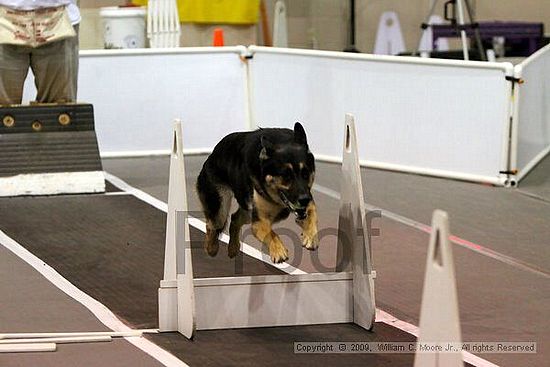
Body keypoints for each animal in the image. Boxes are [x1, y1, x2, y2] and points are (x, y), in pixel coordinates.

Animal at [197, 123, 320, 264]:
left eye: (305, 173)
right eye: (286, 176)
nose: (304, 199)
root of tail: (211, 155)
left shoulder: (307, 199)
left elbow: (312, 212)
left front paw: (310, 235)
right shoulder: (259, 221)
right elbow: (270, 233)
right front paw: (278, 250)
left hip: (247, 211)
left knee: (234, 219)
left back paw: (233, 248)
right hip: (220, 211)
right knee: (212, 226)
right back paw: (211, 248)